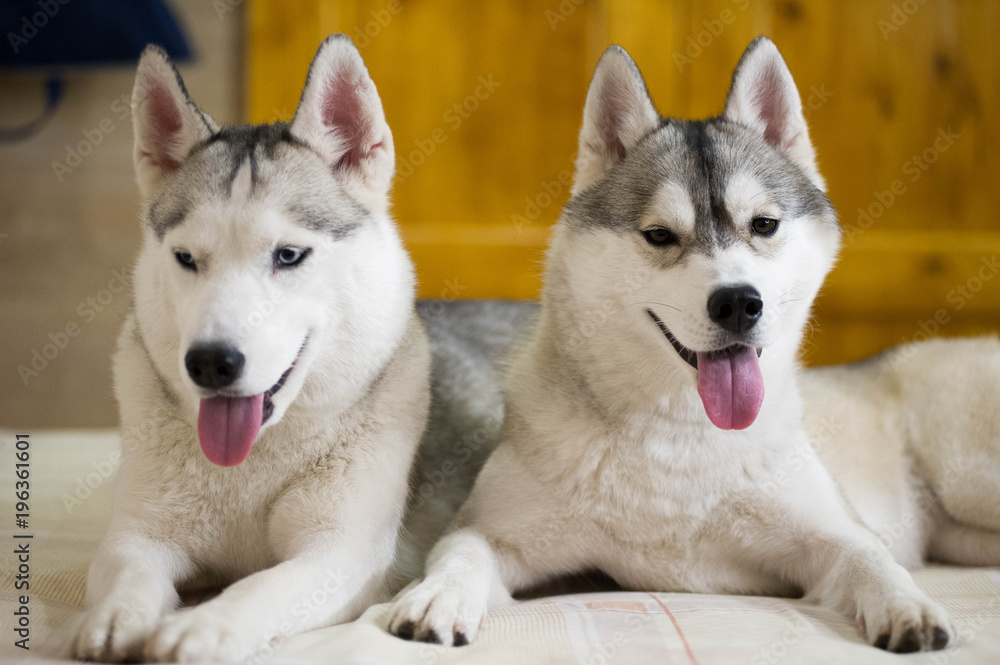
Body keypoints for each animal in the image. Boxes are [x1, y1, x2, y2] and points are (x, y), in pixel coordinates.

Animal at [70, 35, 430, 660]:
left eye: (288, 255)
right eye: (186, 258)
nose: (210, 363)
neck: (252, 461)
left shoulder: (340, 553)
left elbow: (260, 586)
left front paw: (203, 626)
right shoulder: (138, 535)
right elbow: (128, 574)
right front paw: (116, 618)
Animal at [386, 39, 996, 652]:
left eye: (764, 224)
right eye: (659, 235)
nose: (738, 303)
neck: (680, 437)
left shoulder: (835, 534)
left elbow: (873, 560)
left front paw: (908, 606)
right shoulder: (490, 532)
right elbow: (460, 556)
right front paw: (436, 597)